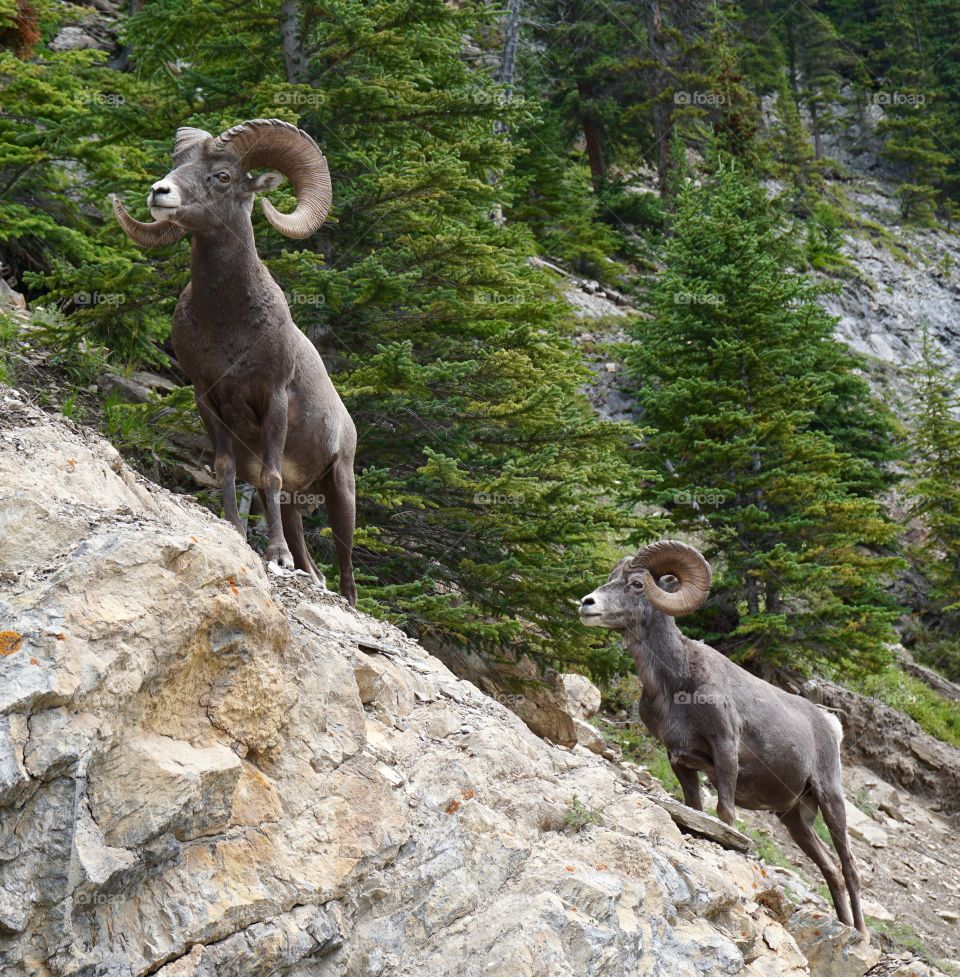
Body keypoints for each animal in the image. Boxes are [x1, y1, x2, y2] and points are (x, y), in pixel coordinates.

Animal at [109, 120, 356, 604]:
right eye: (178, 166)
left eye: (222, 176)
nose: (159, 192)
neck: (229, 324)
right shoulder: (207, 399)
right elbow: (224, 469)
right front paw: (235, 531)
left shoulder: (273, 400)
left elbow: (272, 475)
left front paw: (276, 558)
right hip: (300, 506)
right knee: (310, 557)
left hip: (342, 492)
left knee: (347, 575)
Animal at [580, 544, 868, 936]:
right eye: (611, 579)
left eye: (637, 584)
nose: (587, 603)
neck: (675, 683)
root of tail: (830, 725)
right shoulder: (679, 760)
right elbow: (697, 810)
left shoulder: (725, 750)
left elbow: (725, 816)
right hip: (794, 819)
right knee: (831, 870)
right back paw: (843, 928)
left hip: (830, 798)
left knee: (848, 867)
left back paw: (862, 934)